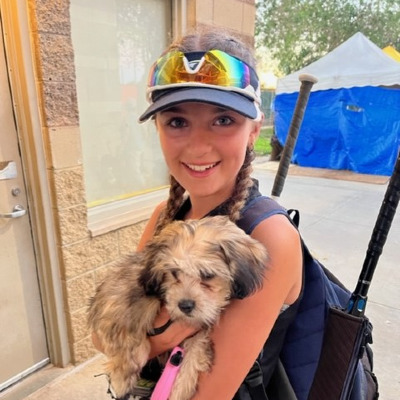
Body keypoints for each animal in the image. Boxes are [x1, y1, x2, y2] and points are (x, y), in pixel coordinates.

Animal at [88, 215, 268, 400]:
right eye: (174, 272)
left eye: (207, 275)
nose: (185, 305)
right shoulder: (119, 293)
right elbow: (126, 323)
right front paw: (122, 376)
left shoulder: (198, 330)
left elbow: (193, 355)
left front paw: (179, 389)